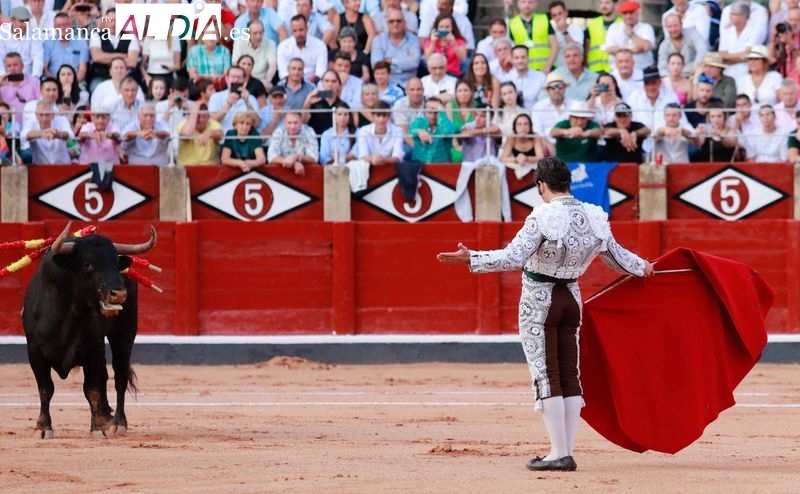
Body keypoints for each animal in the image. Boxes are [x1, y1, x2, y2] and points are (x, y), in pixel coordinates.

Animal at [21, 224, 156, 440]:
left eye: (115, 263)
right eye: (87, 265)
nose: (119, 293)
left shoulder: (94, 346)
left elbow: (91, 389)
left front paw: (97, 428)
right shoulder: (34, 349)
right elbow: (45, 388)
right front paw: (43, 427)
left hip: (124, 334)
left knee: (119, 376)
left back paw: (117, 423)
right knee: (105, 376)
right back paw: (106, 415)